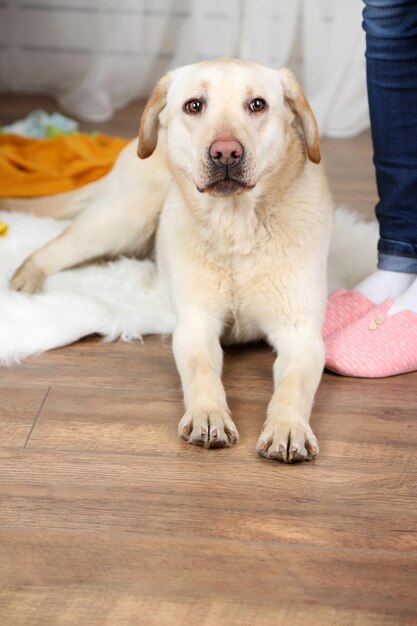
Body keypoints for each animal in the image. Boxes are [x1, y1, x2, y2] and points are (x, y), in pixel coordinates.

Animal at [8, 57, 332, 458]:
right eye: (194, 105)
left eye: (258, 104)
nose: (226, 152)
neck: (236, 225)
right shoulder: (196, 323)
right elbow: (201, 370)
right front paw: (209, 413)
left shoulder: (301, 333)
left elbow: (293, 384)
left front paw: (288, 426)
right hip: (127, 216)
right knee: (49, 248)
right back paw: (27, 280)